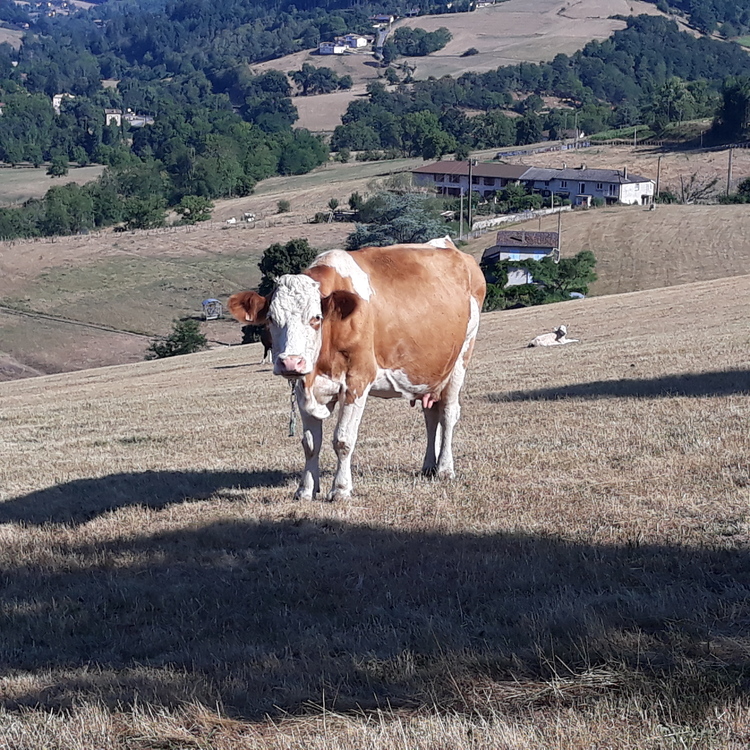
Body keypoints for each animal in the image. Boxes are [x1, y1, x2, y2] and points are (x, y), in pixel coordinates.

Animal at [229, 238, 488, 502]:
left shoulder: (358, 380)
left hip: (460, 359)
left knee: (448, 413)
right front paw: (305, 490)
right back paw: (428, 466)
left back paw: (445, 468)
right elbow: (310, 443)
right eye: (271, 318)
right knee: (431, 415)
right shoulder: (304, 387)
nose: (291, 362)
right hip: (428, 374)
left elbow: (343, 439)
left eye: (316, 318)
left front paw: (341, 489)